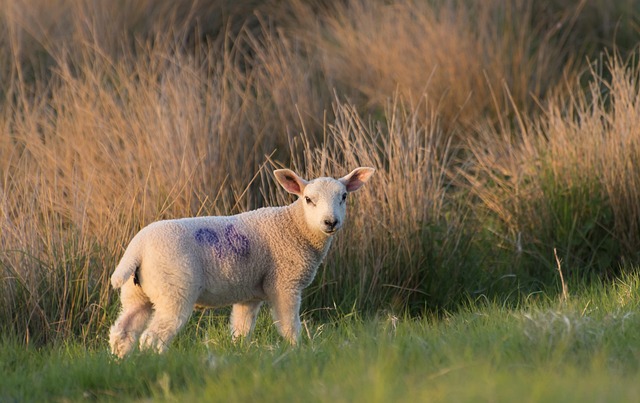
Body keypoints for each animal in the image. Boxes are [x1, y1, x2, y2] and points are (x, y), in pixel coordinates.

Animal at [107, 166, 372, 356]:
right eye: (308, 199)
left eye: (344, 196)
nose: (330, 222)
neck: (295, 226)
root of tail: (137, 247)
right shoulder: (284, 283)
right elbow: (289, 325)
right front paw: (296, 350)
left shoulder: (249, 295)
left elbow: (241, 329)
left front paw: (239, 352)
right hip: (174, 288)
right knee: (153, 338)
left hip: (136, 293)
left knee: (123, 332)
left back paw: (121, 362)